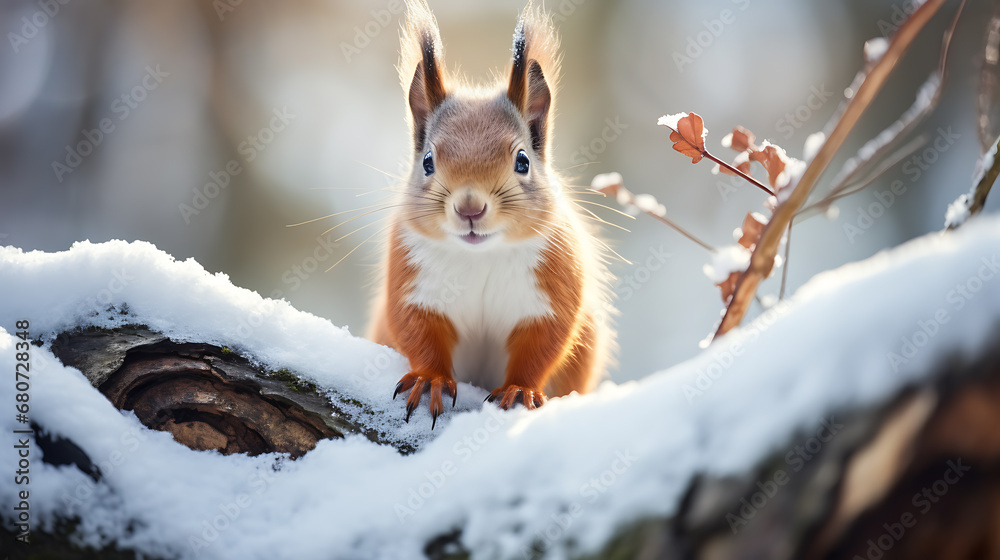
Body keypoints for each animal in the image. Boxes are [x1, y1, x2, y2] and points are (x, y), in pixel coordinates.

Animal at [367, 0, 615, 428]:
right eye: (428, 161)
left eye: (523, 161)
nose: (470, 207)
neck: (480, 256)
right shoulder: (412, 283)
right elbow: (418, 332)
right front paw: (430, 380)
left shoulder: (553, 289)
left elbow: (543, 346)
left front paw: (520, 390)